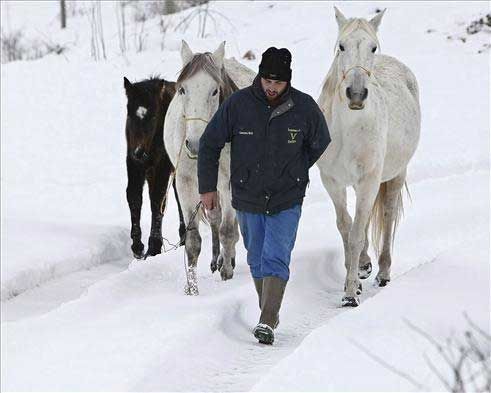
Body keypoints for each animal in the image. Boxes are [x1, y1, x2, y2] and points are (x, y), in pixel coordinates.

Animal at [124, 75, 185, 258]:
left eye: (153, 117)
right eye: (129, 114)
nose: (139, 151)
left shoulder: (163, 165)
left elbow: (158, 199)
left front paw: (154, 246)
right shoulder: (133, 164)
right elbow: (134, 197)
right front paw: (137, 246)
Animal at [165, 40, 258, 294]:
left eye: (215, 90)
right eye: (182, 90)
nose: (196, 144)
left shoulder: (228, 184)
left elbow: (228, 231)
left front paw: (227, 273)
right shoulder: (186, 185)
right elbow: (193, 240)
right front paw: (192, 287)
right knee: (216, 219)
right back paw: (217, 260)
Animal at [318, 7, 420, 304]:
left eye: (373, 47)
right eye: (341, 46)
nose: (356, 94)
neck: (346, 129)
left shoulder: (368, 180)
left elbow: (355, 233)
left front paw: (350, 293)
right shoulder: (332, 181)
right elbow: (346, 227)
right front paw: (354, 277)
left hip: (394, 175)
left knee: (387, 215)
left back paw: (383, 273)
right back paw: (364, 265)